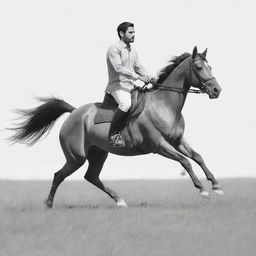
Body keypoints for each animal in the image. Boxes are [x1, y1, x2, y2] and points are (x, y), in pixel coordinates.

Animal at [9, 46, 222, 208]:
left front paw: (216, 185)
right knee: (59, 175)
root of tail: (74, 112)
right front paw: (202, 190)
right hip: (76, 158)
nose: (216, 90)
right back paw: (49, 203)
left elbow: (197, 157)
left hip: (98, 154)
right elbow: (185, 162)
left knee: (91, 177)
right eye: (199, 67)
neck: (163, 105)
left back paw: (119, 200)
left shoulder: (177, 141)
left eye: (210, 66)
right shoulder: (159, 145)